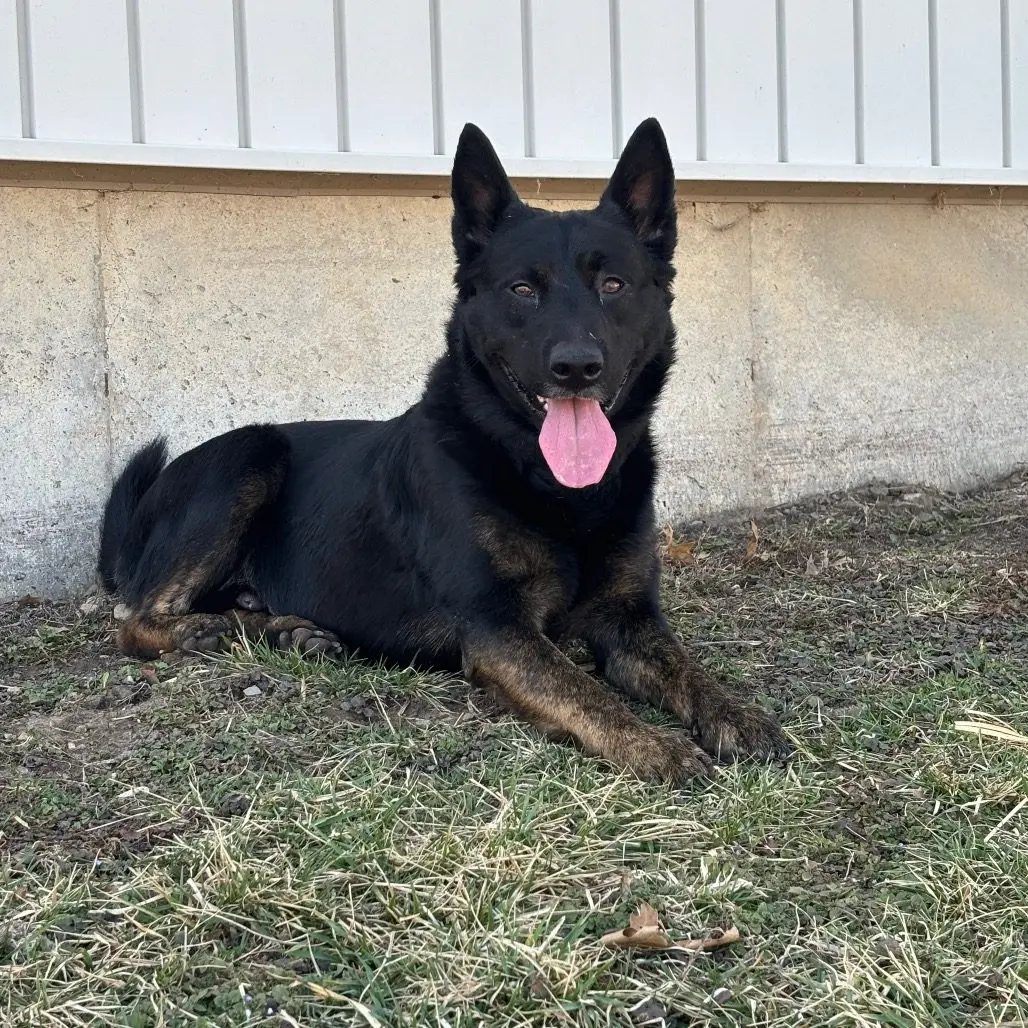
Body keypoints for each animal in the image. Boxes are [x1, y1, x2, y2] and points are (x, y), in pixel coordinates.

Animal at [97, 118, 790, 784]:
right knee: (134, 619)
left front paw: (739, 715)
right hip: (253, 451)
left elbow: (687, 669)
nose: (576, 368)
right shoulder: (497, 630)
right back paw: (206, 631)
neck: (554, 487)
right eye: (522, 290)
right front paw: (657, 746)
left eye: (614, 284)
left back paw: (281, 628)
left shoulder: (631, 623)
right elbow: (587, 694)